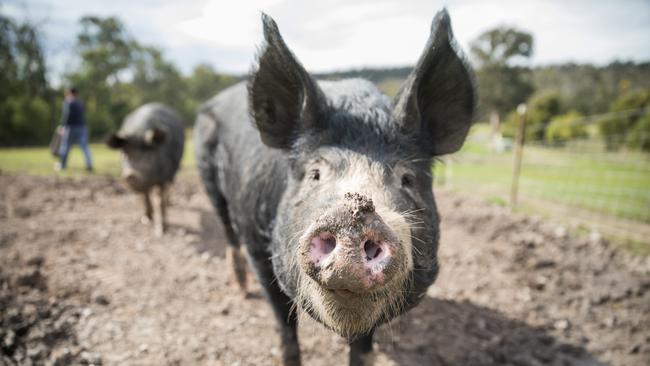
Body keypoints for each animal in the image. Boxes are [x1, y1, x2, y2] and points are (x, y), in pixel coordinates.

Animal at [105, 102, 182, 234]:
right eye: (125, 154)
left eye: (148, 155)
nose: (131, 174)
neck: (139, 133)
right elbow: (144, 196)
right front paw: (146, 220)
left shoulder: (166, 174)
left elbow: (159, 199)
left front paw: (162, 230)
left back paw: (169, 203)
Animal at [192, 10, 470, 364]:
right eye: (314, 174)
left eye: (407, 179)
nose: (354, 215)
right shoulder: (259, 245)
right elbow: (285, 326)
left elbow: (363, 347)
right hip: (210, 180)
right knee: (226, 227)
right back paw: (240, 287)